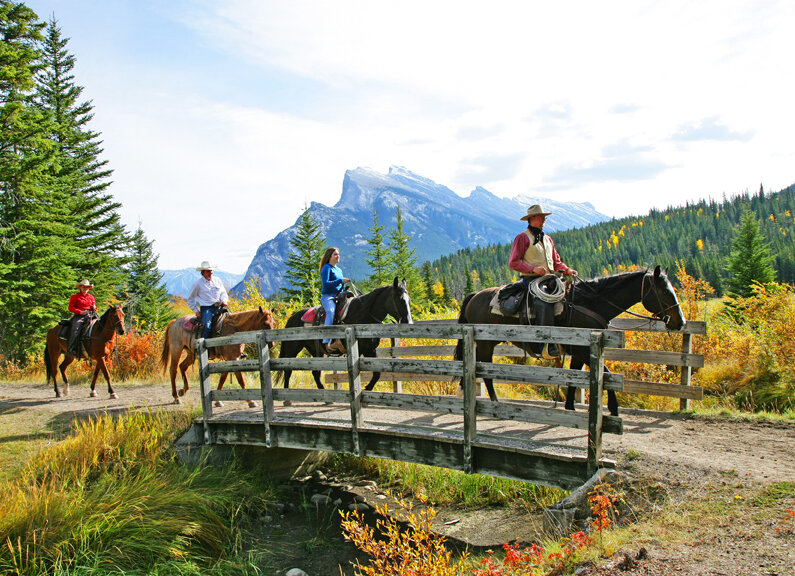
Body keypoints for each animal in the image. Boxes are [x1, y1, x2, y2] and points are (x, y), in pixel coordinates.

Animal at [278, 276, 414, 394]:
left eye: (409, 300)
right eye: (400, 299)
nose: (409, 322)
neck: (362, 315)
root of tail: (291, 319)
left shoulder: (370, 350)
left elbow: (377, 374)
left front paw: (367, 389)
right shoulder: (356, 350)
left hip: (316, 351)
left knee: (315, 373)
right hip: (292, 349)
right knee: (287, 370)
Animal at [458, 268, 688, 416]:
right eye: (664, 291)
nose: (680, 322)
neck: (590, 303)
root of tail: (474, 295)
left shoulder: (579, 351)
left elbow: (574, 377)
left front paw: (569, 406)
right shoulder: (584, 350)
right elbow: (606, 373)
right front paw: (614, 408)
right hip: (486, 343)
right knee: (484, 370)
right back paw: (494, 402)